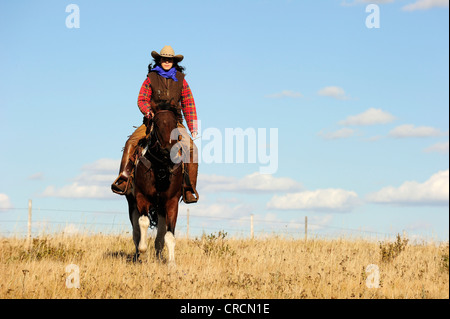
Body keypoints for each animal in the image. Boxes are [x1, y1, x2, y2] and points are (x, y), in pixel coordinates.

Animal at [125, 102, 184, 268]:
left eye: (175, 125)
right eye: (156, 124)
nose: (168, 151)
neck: (160, 168)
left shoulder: (172, 203)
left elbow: (169, 234)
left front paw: (171, 263)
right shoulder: (141, 198)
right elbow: (143, 224)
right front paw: (143, 253)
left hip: (161, 209)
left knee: (161, 234)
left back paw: (158, 256)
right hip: (132, 204)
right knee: (136, 232)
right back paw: (138, 255)